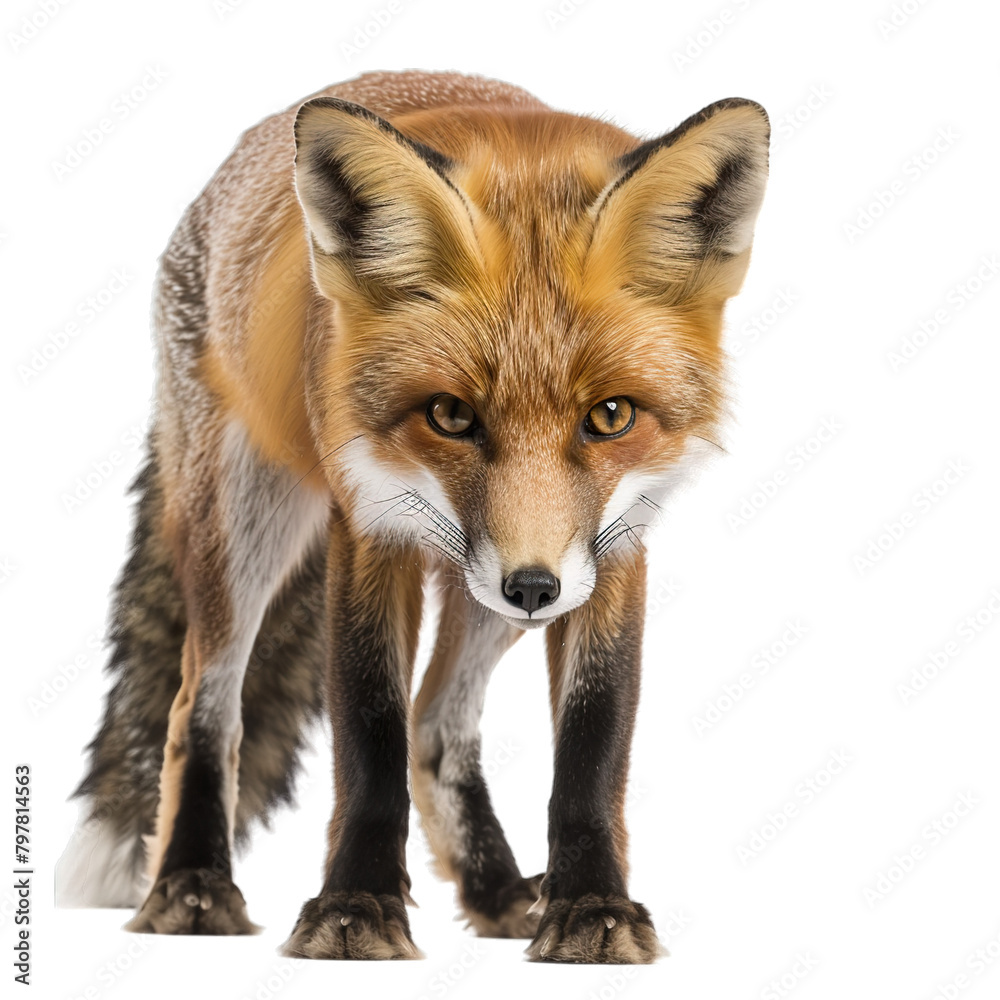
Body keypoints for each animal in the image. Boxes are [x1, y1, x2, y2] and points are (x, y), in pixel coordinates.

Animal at [56, 70, 768, 963]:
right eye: (451, 415)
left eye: (610, 416)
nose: (532, 586)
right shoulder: (368, 530)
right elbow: (370, 733)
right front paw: (355, 906)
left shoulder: (614, 544)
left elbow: (593, 741)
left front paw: (590, 906)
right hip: (247, 527)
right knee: (203, 709)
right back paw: (191, 885)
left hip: (482, 591)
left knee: (436, 723)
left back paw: (500, 892)